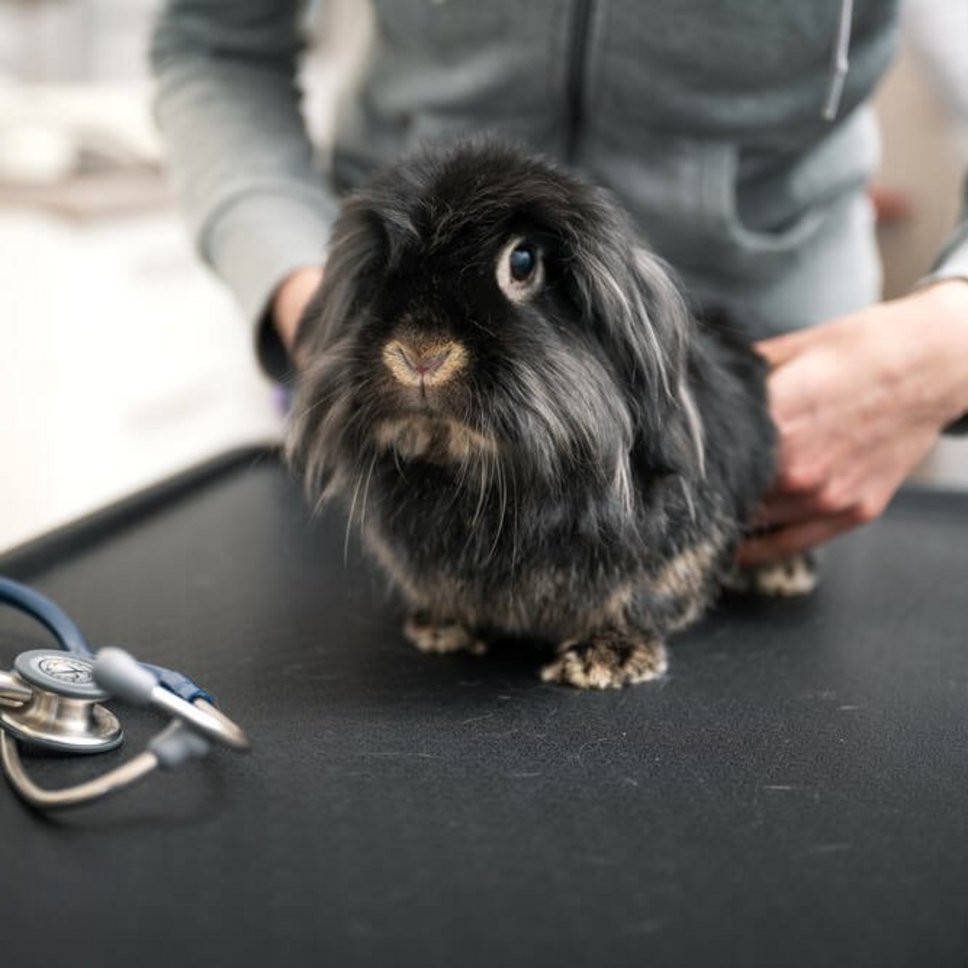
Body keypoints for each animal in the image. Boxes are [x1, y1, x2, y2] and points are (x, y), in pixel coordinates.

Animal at [290, 140, 808, 692]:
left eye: (522, 261)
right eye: (384, 265)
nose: (419, 355)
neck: (483, 478)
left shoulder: (673, 555)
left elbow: (641, 599)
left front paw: (606, 659)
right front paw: (439, 628)